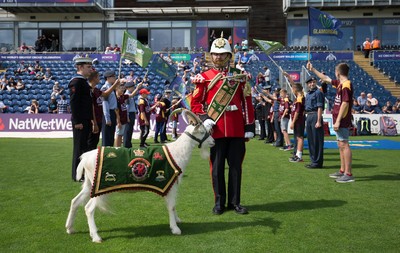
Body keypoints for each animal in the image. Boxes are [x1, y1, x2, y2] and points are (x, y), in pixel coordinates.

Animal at [66, 109, 216, 242]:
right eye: (202, 132)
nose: (213, 142)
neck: (177, 152)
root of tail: (85, 158)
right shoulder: (170, 184)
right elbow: (171, 205)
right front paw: (175, 229)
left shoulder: (170, 184)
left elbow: (173, 204)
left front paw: (177, 220)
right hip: (100, 187)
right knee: (88, 208)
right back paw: (96, 237)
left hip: (89, 184)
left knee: (75, 201)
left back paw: (70, 228)